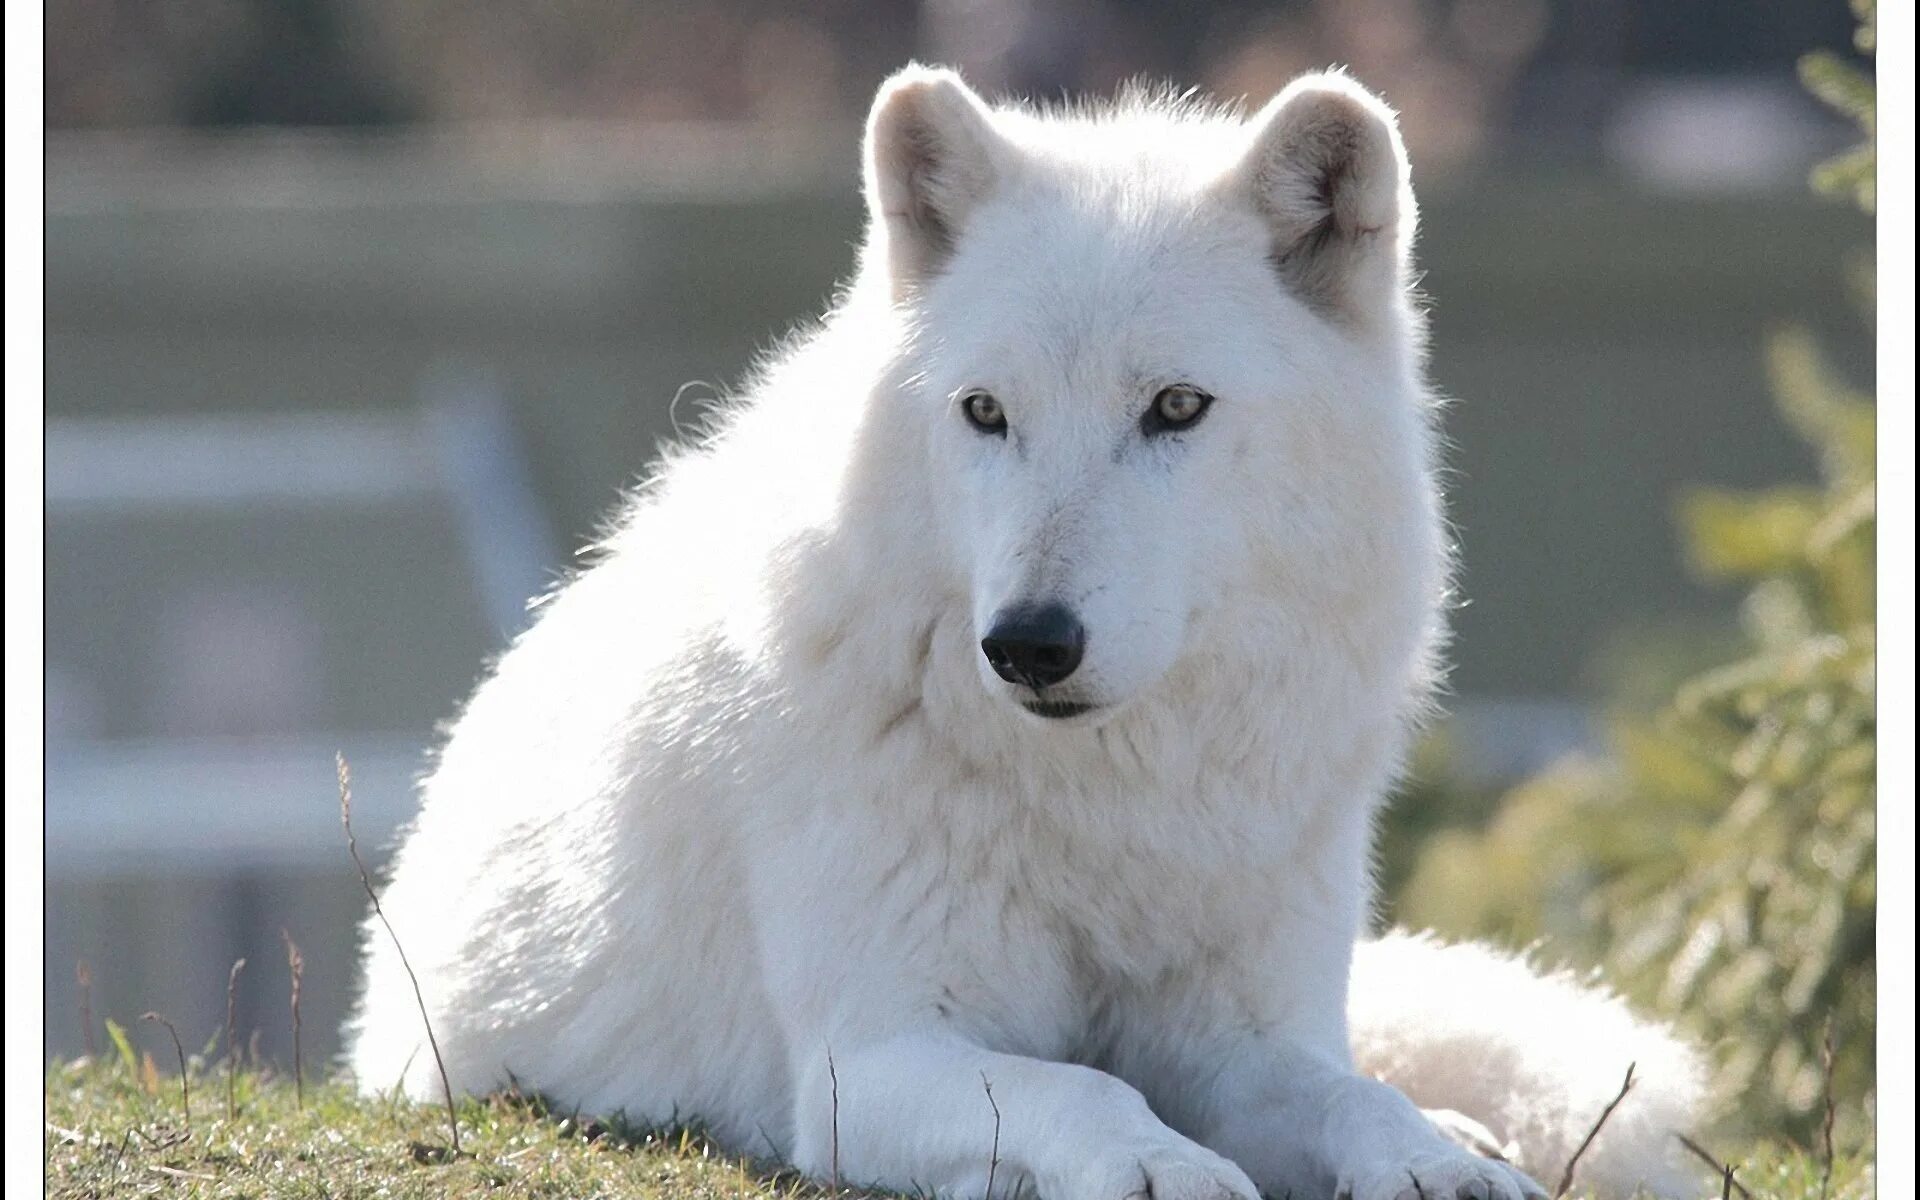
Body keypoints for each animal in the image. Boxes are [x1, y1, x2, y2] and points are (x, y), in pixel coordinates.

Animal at [353, 67, 1704, 1198]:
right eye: (986, 412)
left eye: (1175, 408)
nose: (1028, 646)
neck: (1105, 802)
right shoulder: (867, 1058)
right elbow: (1086, 1086)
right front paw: (1169, 1169)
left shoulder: (1242, 1040)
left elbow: (1351, 1093)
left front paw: (1437, 1163)